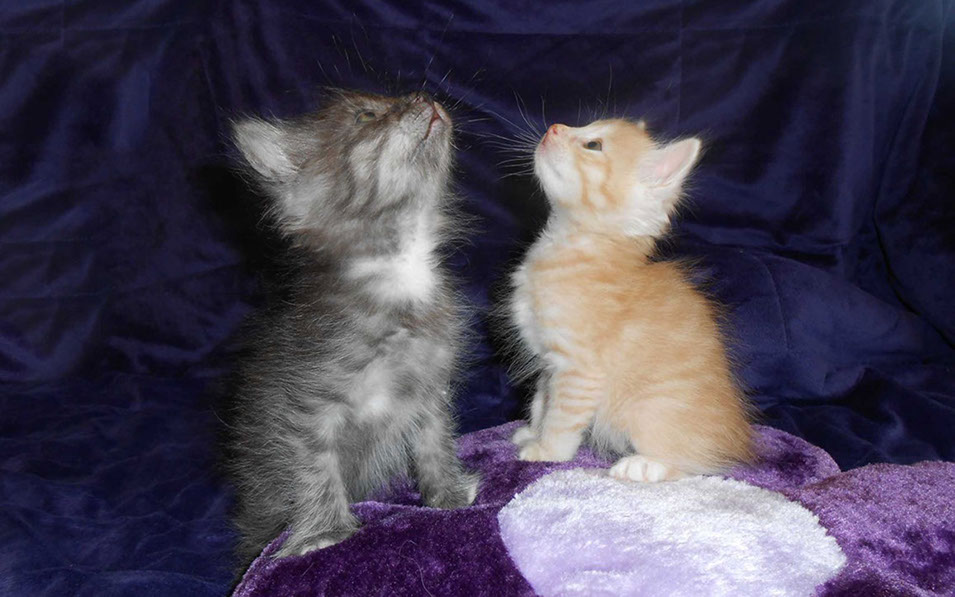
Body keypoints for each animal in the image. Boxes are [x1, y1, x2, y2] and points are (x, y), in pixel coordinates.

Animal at [225, 90, 479, 565]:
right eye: (366, 115)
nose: (424, 96)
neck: (400, 275)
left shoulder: (431, 392)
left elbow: (436, 445)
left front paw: (449, 496)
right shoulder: (304, 407)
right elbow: (316, 469)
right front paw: (326, 533)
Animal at [507, 118, 753, 482]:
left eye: (593, 145)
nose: (554, 127)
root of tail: (736, 440)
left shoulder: (579, 370)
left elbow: (561, 418)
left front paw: (547, 451)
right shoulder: (549, 367)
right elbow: (541, 403)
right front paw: (533, 432)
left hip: (648, 411)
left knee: (691, 466)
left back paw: (642, 465)